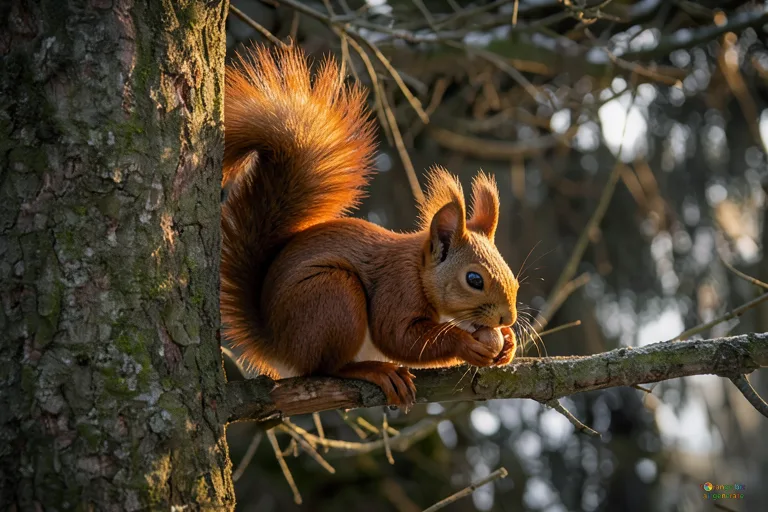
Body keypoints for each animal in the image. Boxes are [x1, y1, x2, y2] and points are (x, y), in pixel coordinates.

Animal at [221, 45, 519, 407]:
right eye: (474, 279)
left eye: (513, 276)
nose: (508, 318)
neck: (418, 268)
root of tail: (276, 345)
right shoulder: (397, 287)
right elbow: (397, 337)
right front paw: (466, 345)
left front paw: (508, 341)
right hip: (333, 296)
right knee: (326, 367)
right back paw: (374, 370)